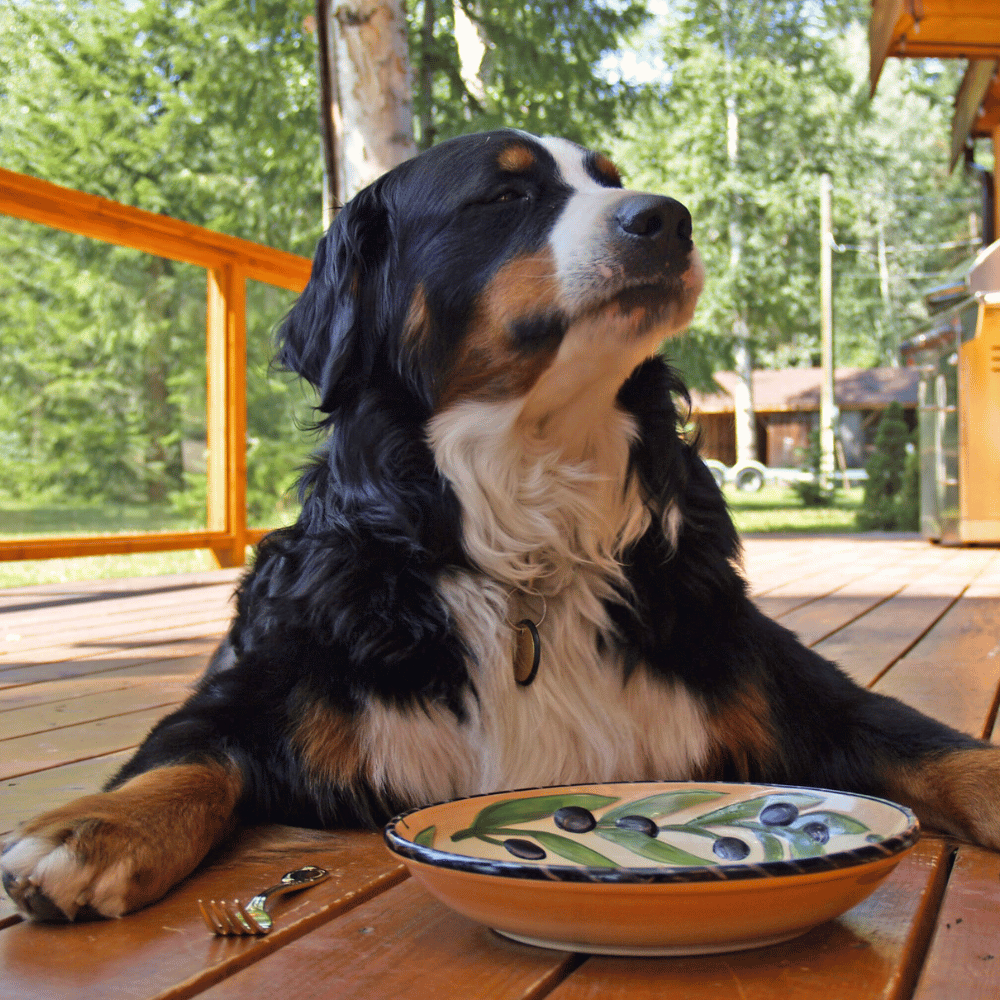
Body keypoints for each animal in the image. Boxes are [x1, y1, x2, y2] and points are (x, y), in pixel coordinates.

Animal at [1, 131, 1000, 920]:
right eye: (507, 193)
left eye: (612, 177)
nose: (668, 219)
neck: (532, 520)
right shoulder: (272, 678)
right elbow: (188, 756)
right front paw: (93, 828)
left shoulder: (767, 669)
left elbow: (922, 740)